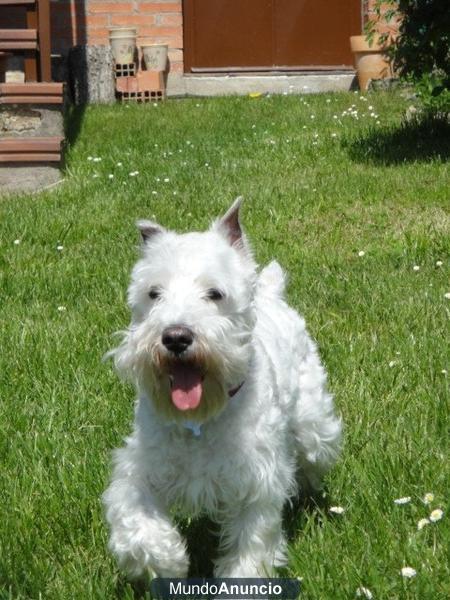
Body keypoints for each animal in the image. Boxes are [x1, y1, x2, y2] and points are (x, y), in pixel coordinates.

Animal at [102, 199, 342, 580]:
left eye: (215, 293)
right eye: (154, 293)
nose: (175, 337)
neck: (200, 421)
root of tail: (272, 293)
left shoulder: (255, 484)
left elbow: (250, 545)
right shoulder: (139, 469)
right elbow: (135, 519)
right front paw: (169, 559)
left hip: (314, 425)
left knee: (314, 455)